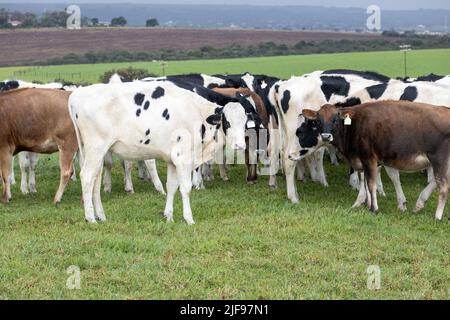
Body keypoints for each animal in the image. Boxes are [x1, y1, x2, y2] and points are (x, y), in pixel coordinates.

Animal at [302, 101, 450, 221]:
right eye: (318, 121)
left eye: (336, 120)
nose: (326, 136)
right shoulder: (362, 161)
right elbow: (365, 183)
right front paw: (365, 204)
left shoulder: (369, 158)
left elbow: (371, 183)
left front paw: (374, 209)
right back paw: (420, 203)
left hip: (439, 158)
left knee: (443, 186)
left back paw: (437, 216)